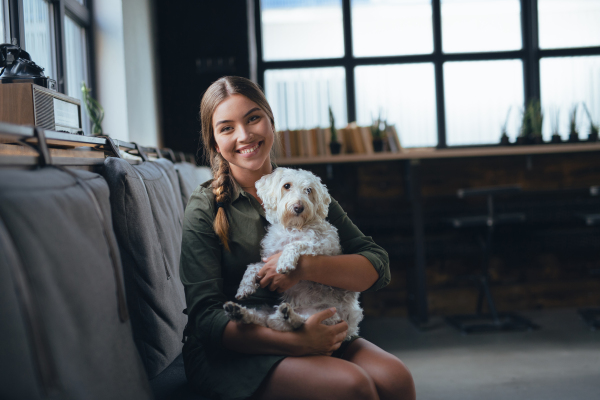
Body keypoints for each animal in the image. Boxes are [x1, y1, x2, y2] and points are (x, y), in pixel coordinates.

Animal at [225, 167, 364, 340]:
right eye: (287, 186)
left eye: (309, 190)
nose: (299, 207)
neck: (293, 227)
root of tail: (351, 329)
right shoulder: (268, 258)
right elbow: (253, 266)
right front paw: (244, 286)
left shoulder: (323, 245)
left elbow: (295, 244)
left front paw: (285, 262)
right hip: (269, 311)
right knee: (267, 321)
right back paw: (239, 312)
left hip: (328, 316)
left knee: (297, 323)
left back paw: (288, 315)